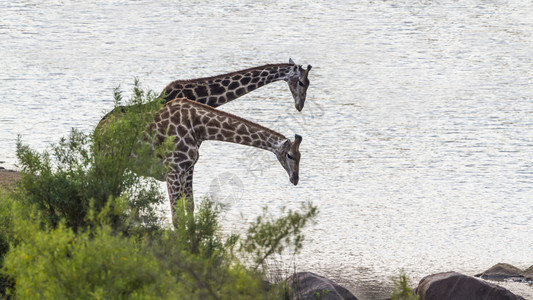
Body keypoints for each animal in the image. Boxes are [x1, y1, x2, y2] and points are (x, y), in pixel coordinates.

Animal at [148, 98, 302, 220]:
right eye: (290, 155)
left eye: (300, 156)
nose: (295, 179)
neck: (198, 127)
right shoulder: (173, 171)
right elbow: (177, 218)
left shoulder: (186, 170)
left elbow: (190, 208)